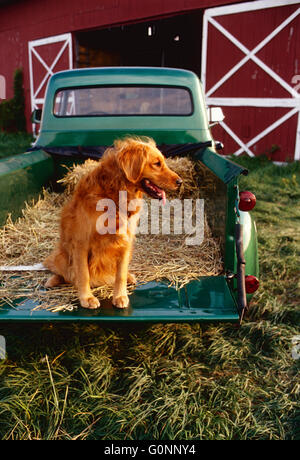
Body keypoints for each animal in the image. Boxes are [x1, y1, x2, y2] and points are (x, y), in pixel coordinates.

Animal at [43, 137, 182, 310]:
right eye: (157, 163)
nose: (180, 182)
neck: (114, 194)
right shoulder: (81, 243)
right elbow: (83, 274)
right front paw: (87, 298)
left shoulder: (125, 241)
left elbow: (120, 274)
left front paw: (120, 296)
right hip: (62, 256)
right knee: (65, 274)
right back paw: (53, 280)